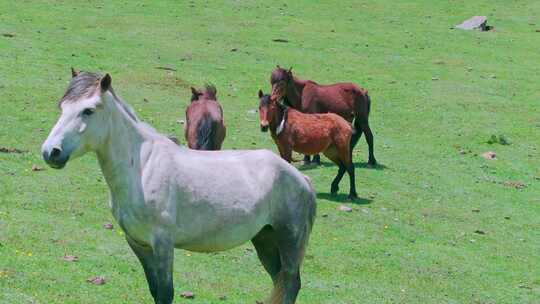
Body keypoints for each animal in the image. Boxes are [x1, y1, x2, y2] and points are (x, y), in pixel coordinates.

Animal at [42, 69, 316, 304]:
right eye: (62, 107)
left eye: (88, 110)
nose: (50, 152)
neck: (142, 167)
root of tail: (300, 179)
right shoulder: (139, 243)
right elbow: (155, 291)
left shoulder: (163, 244)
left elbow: (165, 293)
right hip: (265, 239)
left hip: (289, 240)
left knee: (291, 283)